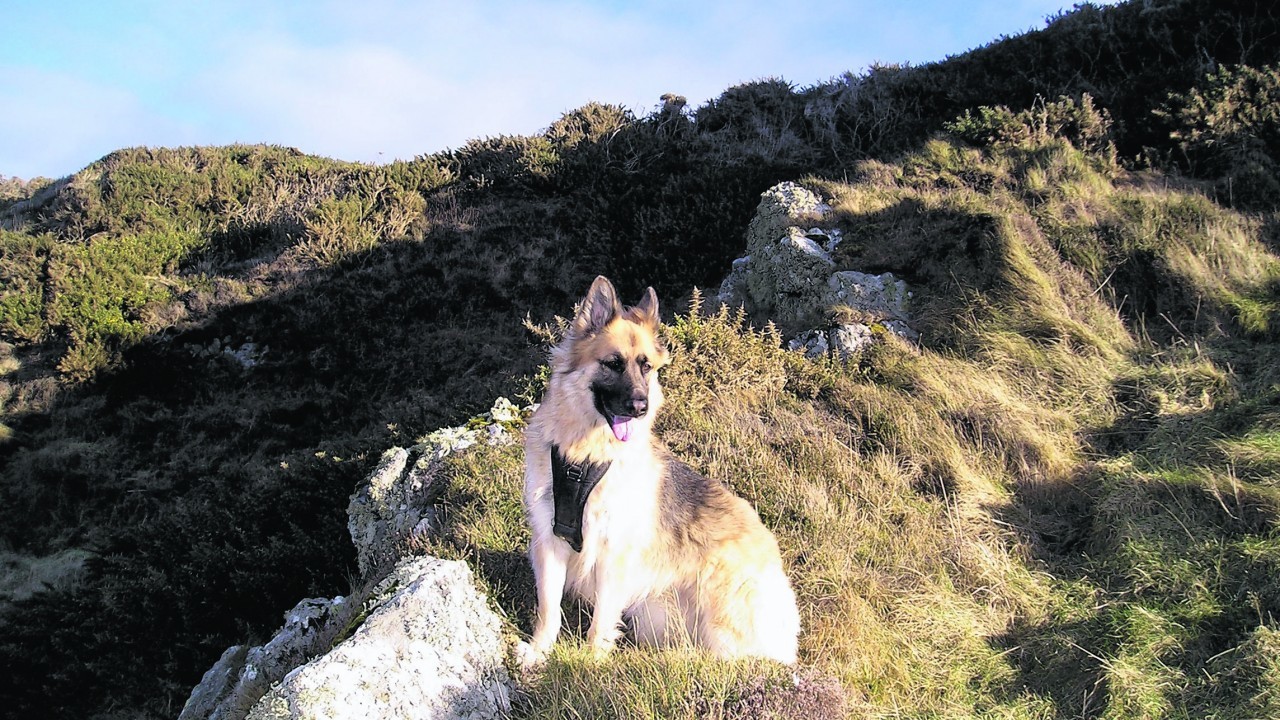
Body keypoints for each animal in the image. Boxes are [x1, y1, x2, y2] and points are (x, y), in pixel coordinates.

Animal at [519, 274, 798, 661]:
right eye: (613, 363)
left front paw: (590, 663)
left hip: (720, 609)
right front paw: (538, 653)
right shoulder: (550, 540)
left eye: (646, 366)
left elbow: (600, 620)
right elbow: (549, 608)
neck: (585, 457)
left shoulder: (613, 554)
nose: (640, 407)